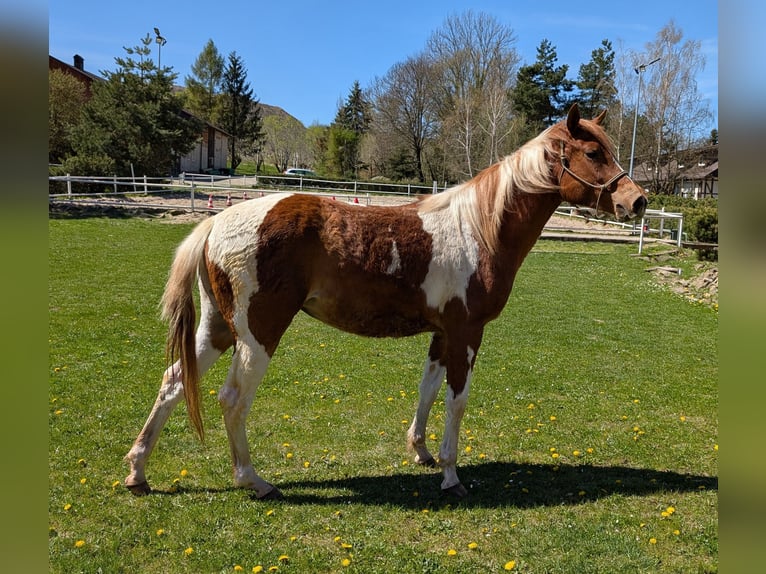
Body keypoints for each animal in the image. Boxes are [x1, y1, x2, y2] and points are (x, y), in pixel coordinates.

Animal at [125, 104, 647, 499]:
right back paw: (254, 481)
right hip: (257, 334)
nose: (637, 201)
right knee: (232, 400)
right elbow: (457, 401)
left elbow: (428, 390)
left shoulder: (442, 333)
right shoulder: (467, 333)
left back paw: (138, 471)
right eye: (593, 152)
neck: (480, 228)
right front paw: (452, 475)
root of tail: (217, 222)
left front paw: (421, 451)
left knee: (174, 383)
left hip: (217, 329)